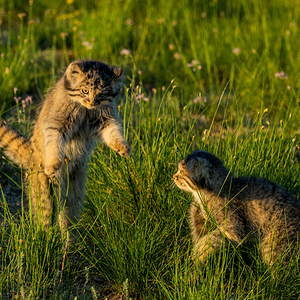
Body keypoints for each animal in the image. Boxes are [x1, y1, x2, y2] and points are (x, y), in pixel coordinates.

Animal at [0, 59, 131, 237]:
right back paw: (46, 240)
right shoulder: (56, 123)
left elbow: (114, 132)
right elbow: (54, 143)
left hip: (75, 190)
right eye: (84, 90)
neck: (85, 110)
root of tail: (31, 154)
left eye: (102, 94)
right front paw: (53, 163)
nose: (92, 103)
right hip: (45, 191)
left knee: (68, 217)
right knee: (45, 219)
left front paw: (123, 147)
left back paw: (71, 241)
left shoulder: (105, 119)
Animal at [172, 151, 300, 266]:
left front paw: (199, 252)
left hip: (277, 243)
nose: (173, 176)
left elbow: (211, 238)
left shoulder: (235, 228)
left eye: (181, 172)